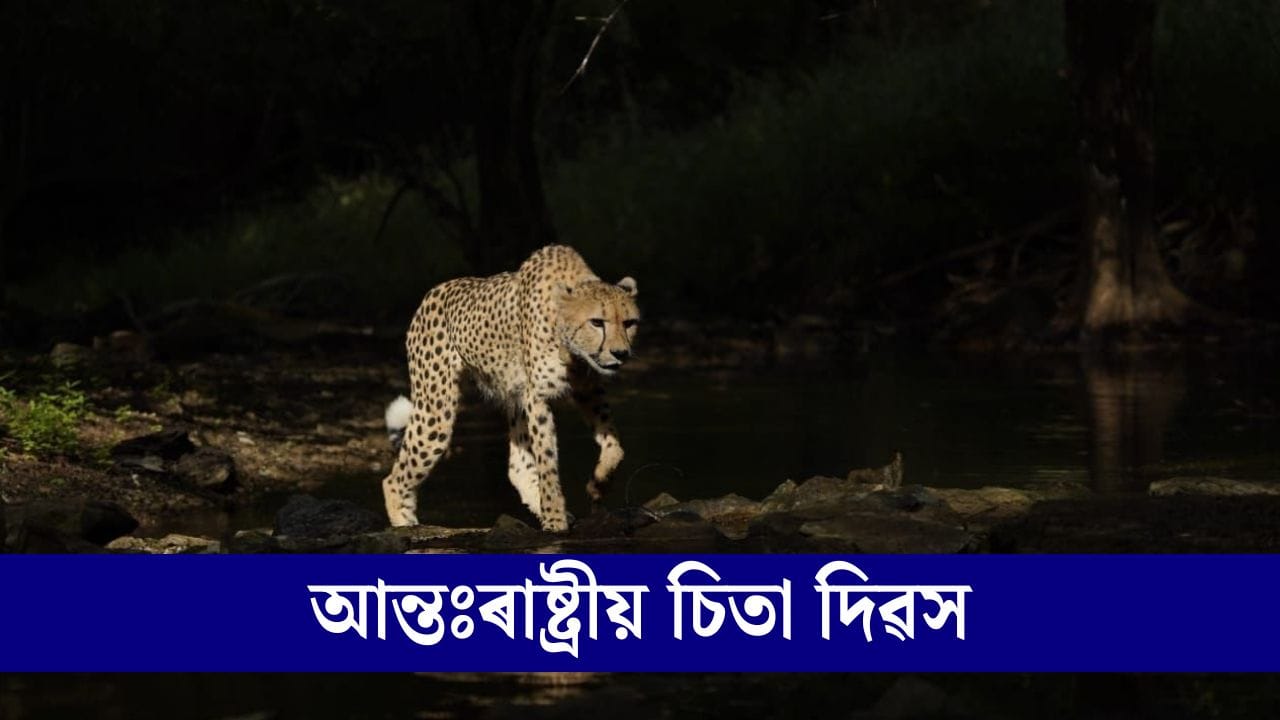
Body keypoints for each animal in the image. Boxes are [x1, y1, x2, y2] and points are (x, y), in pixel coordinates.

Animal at [380, 244, 640, 532]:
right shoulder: (538, 397)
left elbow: (614, 444)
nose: (620, 353)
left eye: (629, 323)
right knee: (393, 479)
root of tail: (433, 292)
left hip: (514, 399)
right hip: (436, 413)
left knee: (518, 468)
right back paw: (404, 523)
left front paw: (599, 483)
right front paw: (554, 520)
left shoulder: (587, 388)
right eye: (597, 322)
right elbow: (547, 462)